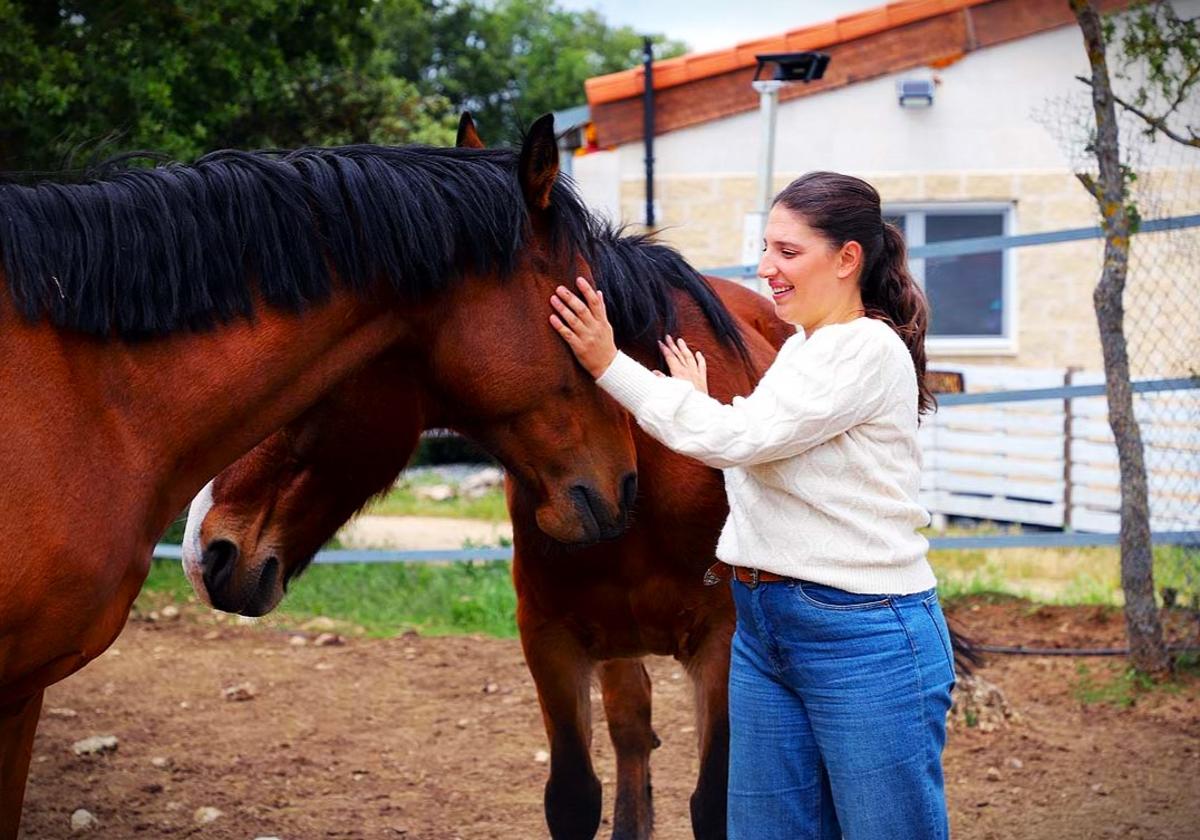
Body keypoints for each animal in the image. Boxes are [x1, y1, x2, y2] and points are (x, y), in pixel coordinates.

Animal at [182, 205, 792, 840]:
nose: (204, 553)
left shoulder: (723, 646)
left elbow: (717, 803)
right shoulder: (550, 640)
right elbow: (573, 796)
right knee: (631, 726)